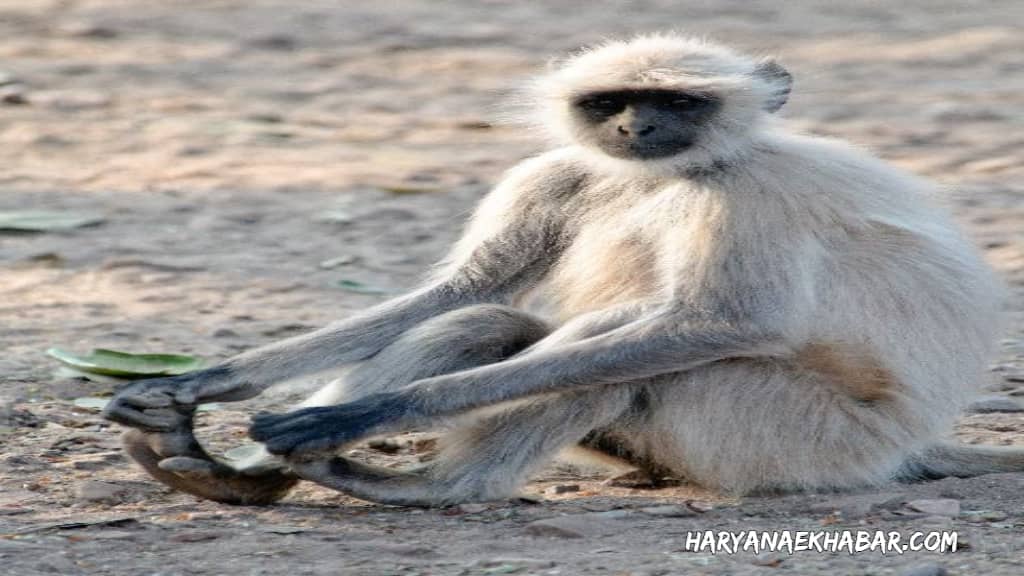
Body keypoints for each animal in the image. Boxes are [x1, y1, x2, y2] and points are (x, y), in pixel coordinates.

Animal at [103, 33, 1020, 507]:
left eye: (677, 102)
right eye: (611, 101)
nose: (637, 127)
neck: (666, 175)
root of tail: (908, 447)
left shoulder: (746, 196)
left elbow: (726, 324)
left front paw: (373, 411)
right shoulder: (557, 172)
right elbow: (464, 291)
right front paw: (193, 386)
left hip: (799, 442)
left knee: (633, 347)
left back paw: (433, 489)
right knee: (488, 321)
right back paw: (237, 473)